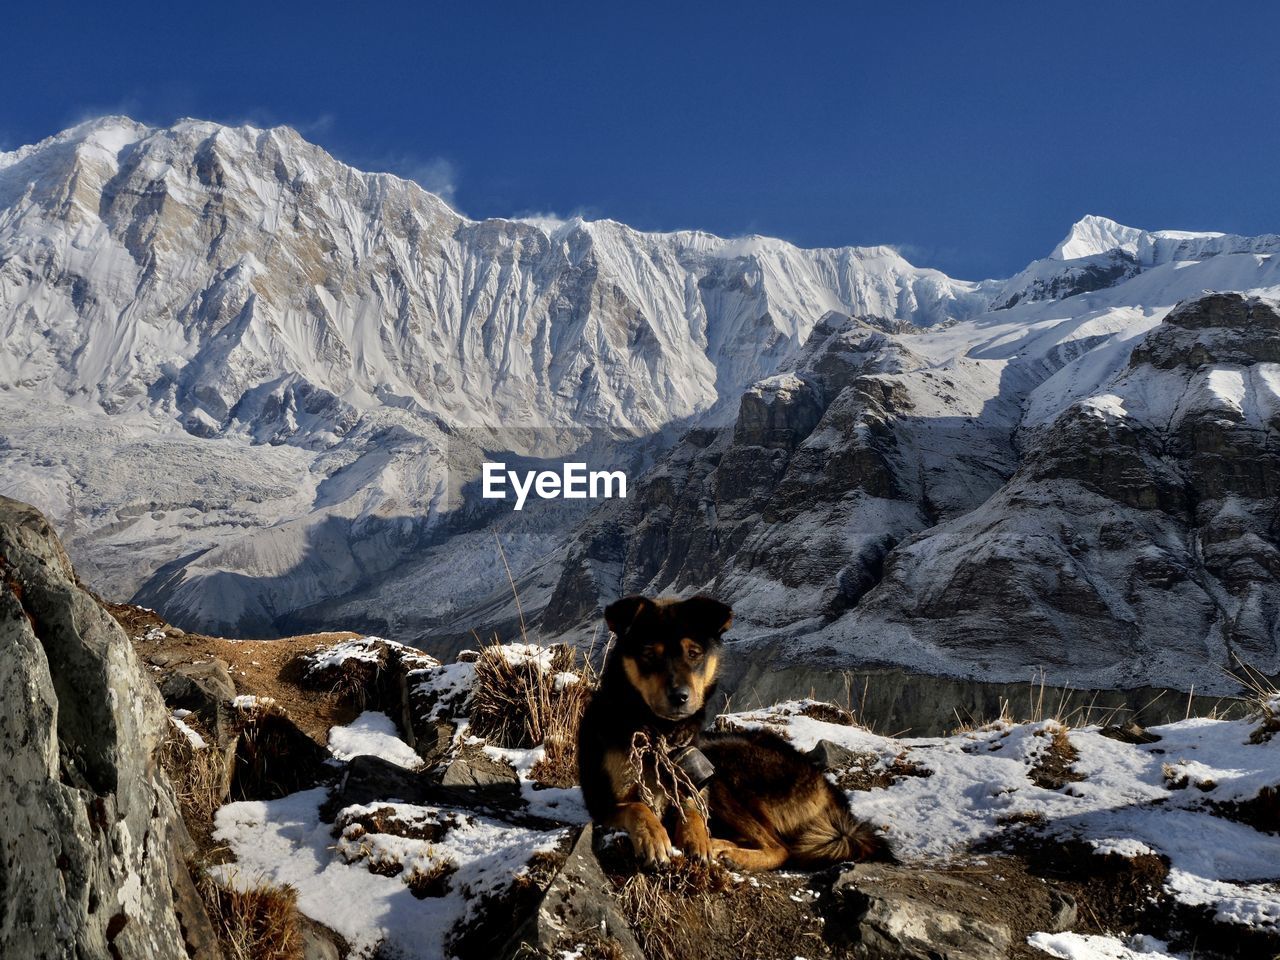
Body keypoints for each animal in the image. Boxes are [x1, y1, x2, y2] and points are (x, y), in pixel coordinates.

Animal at [576, 593, 885, 870]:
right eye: (649, 654)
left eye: (694, 654)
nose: (680, 696)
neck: (660, 735)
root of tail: (829, 790)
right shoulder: (601, 802)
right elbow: (637, 808)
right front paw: (654, 837)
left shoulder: (696, 783)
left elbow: (693, 811)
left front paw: (697, 839)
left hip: (727, 767)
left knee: (781, 848)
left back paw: (725, 850)